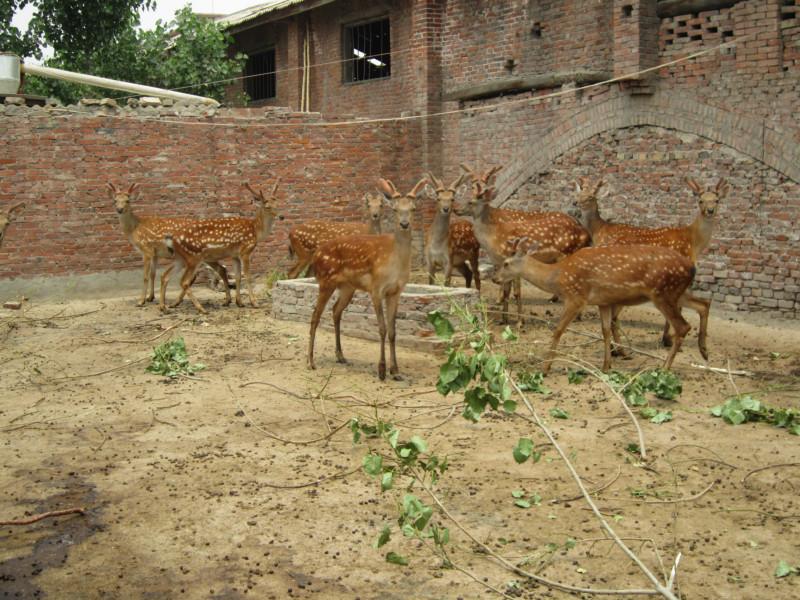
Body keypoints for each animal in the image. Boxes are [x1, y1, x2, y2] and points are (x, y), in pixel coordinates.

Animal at [162, 178, 284, 314]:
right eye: (267, 207)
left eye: (278, 204)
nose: (281, 216)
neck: (256, 231)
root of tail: (171, 239)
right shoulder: (245, 250)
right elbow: (247, 276)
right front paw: (254, 302)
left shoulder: (234, 255)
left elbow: (238, 277)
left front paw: (239, 302)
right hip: (194, 257)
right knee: (184, 281)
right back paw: (201, 308)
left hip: (181, 258)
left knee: (165, 276)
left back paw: (164, 307)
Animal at [308, 176, 432, 380]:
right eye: (395, 209)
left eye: (413, 208)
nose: (404, 224)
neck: (394, 261)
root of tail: (316, 254)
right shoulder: (376, 288)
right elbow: (381, 328)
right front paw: (381, 370)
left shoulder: (396, 291)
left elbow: (393, 331)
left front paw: (396, 371)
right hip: (325, 280)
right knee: (315, 315)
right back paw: (310, 361)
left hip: (347, 287)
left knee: (335, 310)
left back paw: (341, 356)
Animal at [494, 237, 692, 372]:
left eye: (506, 263)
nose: (494, 278)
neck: (559, 277)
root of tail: (692, 268)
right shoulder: (603, 302)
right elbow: (605, 331)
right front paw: (606, 366)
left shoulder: (576, 297)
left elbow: (558, 330)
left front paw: (545, 366)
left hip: (663, 293)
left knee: (683, 326)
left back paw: (664, 368)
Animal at [572, 176, 728, 358]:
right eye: (700, 200)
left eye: (717, 200)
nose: (710, 210)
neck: (694, 242)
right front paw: (669, 340)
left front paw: (668, 339)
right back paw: (620, 350)